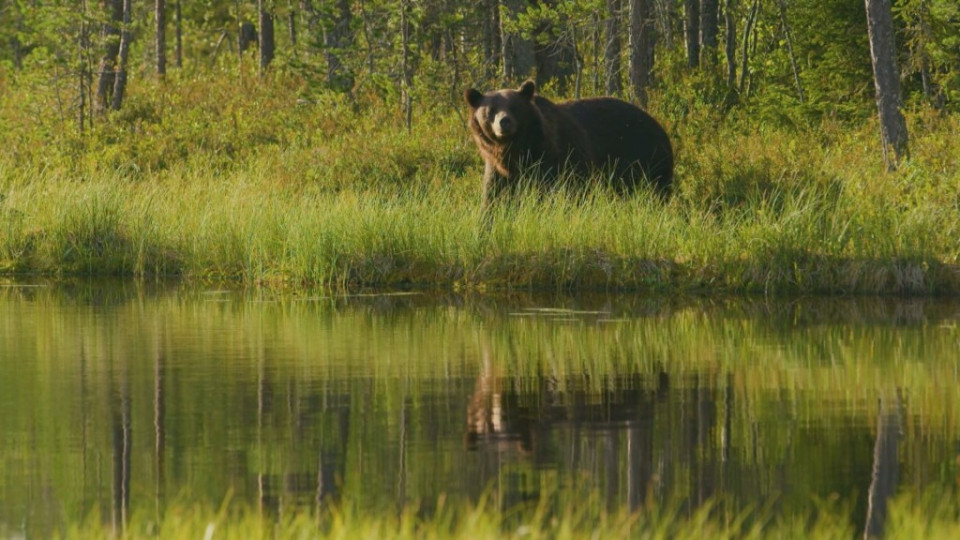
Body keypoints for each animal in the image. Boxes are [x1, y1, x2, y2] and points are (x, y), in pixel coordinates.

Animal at [464, 80, 676, 209]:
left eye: (514, 106)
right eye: (490, 110)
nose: (504, 122)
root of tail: (662, 129)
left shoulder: (557, 159)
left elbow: (560, 191)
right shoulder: (499, 169)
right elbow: (494, 197)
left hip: (644, 157)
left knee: (652, 192)